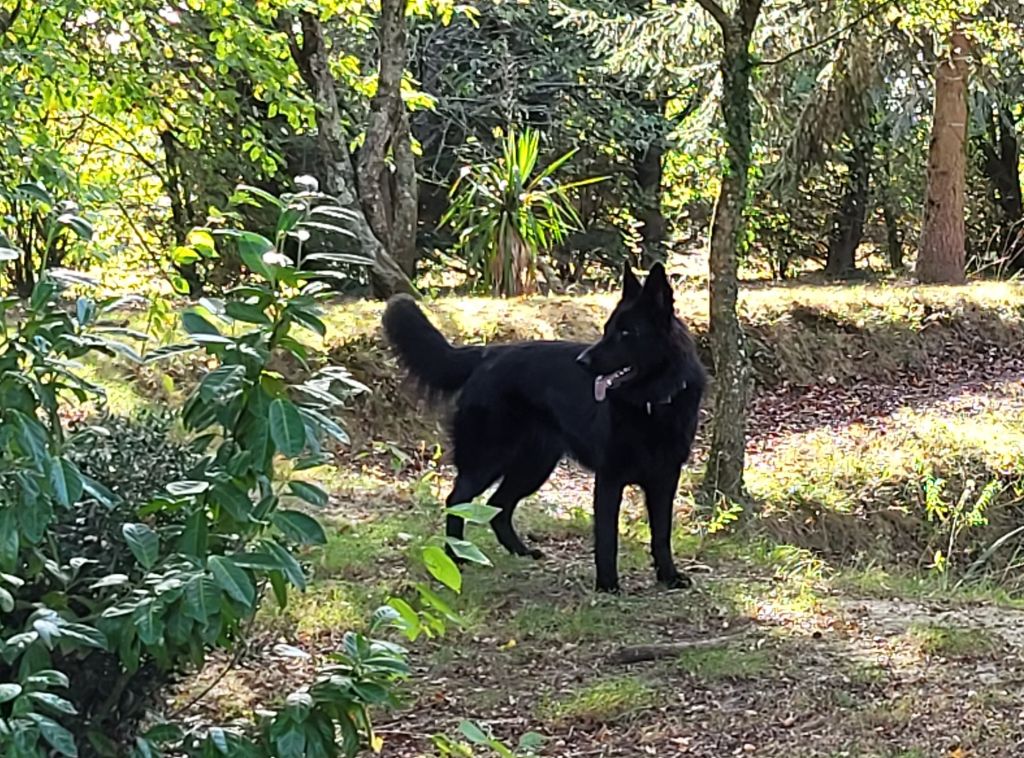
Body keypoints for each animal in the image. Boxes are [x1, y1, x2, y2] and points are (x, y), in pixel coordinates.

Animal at [380, 264, 708, 594]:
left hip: (534, 466)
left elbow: (661, 534)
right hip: (490, 460)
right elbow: (607, 537)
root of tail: (488, 354)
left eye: (627, 333)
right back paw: (456, 557)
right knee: (457, 500)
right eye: (607, 329)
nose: (583, 361)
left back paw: (520, 551)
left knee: (498, 505)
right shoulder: (609, 479)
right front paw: (607, 585)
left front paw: (669, 575)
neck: (651, 404)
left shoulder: (665, 478)